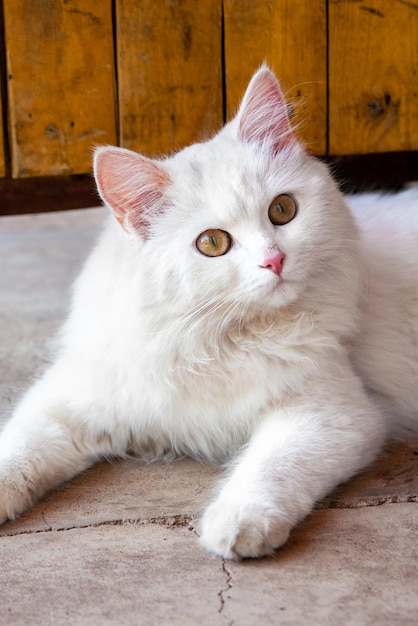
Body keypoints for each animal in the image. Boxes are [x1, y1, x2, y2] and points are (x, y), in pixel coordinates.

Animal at [0, 67, 418, 556]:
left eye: (283, 210)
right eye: (212, 243)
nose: (275, 260)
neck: (216, 339)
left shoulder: (332, 413)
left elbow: (270, 467)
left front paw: (236, 525)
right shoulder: (70, 398)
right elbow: (18, 449)